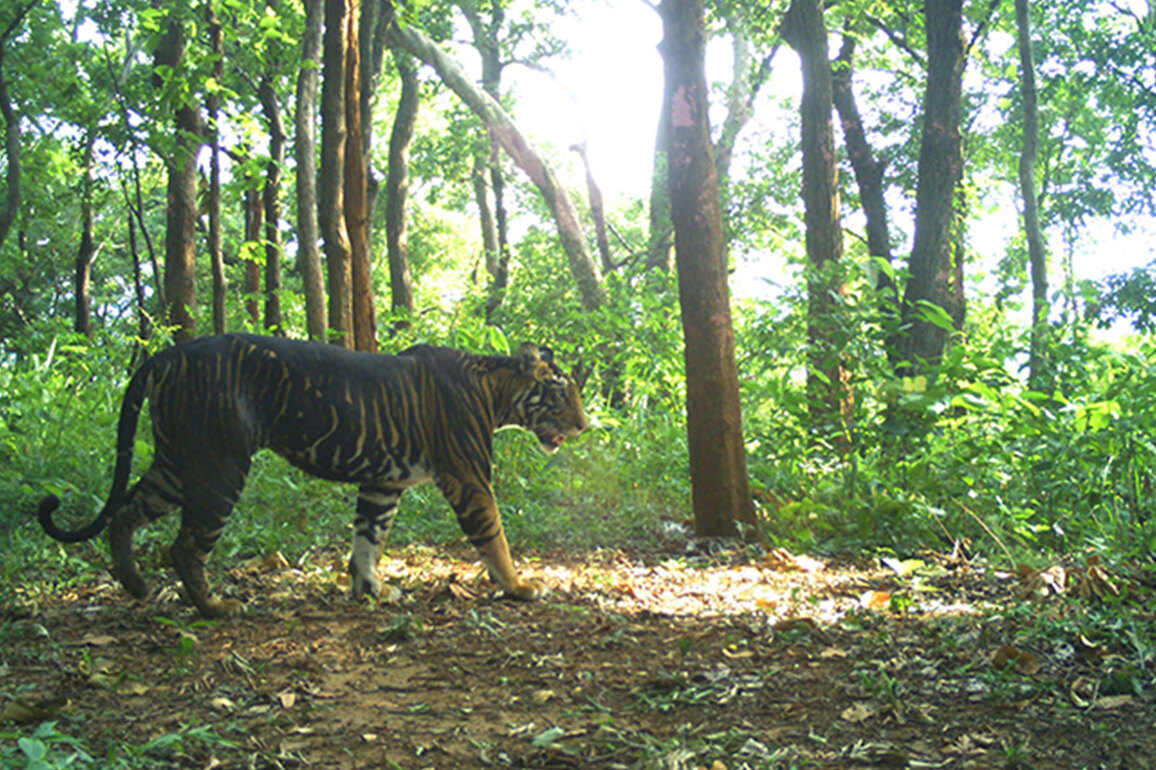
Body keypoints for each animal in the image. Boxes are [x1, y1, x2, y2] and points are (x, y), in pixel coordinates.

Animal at [38, 333, 587, 618]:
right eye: (561, 390)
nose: (585, 426)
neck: (496, 394)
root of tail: (169, 352)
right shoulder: (470, 477)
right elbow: (494, 536)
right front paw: (519, 587)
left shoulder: (383, 484)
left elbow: (368, 540)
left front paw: (372, 590)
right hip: (219, 466)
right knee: (186, 545)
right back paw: (216, 606)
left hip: (177, 462)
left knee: (125, 514)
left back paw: (134, 584)